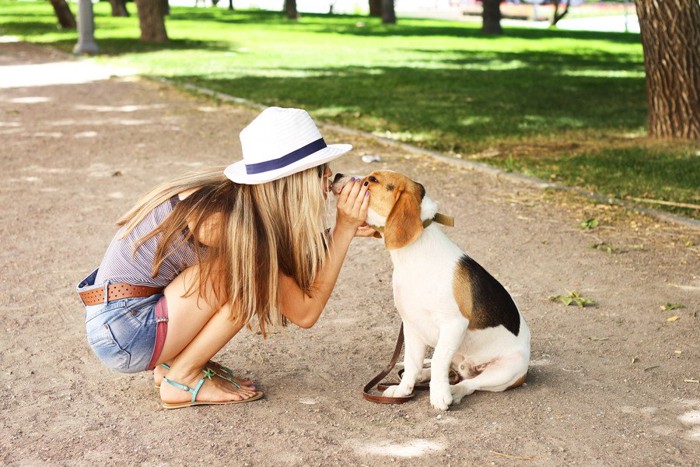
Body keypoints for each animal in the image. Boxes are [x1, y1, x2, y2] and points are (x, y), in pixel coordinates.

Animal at [334, 171, 532, 410]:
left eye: (371, 181)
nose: (336, 175)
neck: (413, 255)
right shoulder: (411, 325)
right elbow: (412, 362)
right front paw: (403, 390)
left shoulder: (453, 324)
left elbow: (438, 362)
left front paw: (438, 394)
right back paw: (421, 376)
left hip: (507, 369)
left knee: (468, 383)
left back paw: (453, 390)